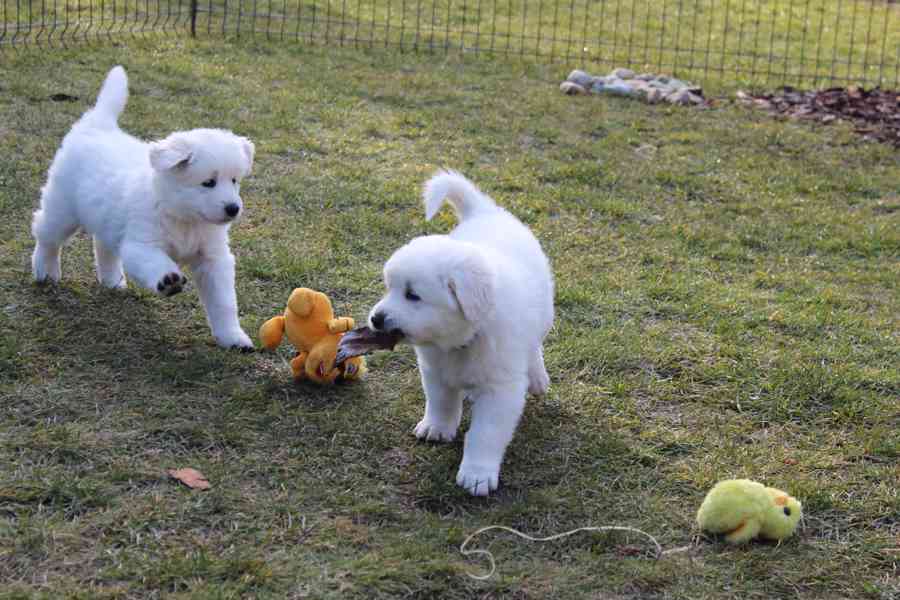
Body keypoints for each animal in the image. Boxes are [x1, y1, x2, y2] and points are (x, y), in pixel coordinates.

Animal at [31, 66, 255, 350]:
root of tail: (97, 123)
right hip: (62, 209)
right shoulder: (141, 244)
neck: (184, 217)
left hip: (105, 218)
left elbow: (224, 303)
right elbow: (155, 261)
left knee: (103, 246)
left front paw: (233, 337)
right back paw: (45, 271)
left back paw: (112, 281)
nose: (233, 209)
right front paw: (168, 280)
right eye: (208, 183)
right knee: (46, 234)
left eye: (235, 180)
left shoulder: (213, 259)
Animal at [368, 170, 552, 496]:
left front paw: (477, 474)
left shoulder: (501, 390)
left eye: (412, 295)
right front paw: (437, 428)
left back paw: (538, 376)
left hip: (543, 316)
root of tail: (485, 211)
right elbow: (441, 401)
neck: (463, 339)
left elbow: (485, 434)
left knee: (535, 346)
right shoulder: (434, 369)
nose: (376, 319)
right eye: (389, 287)